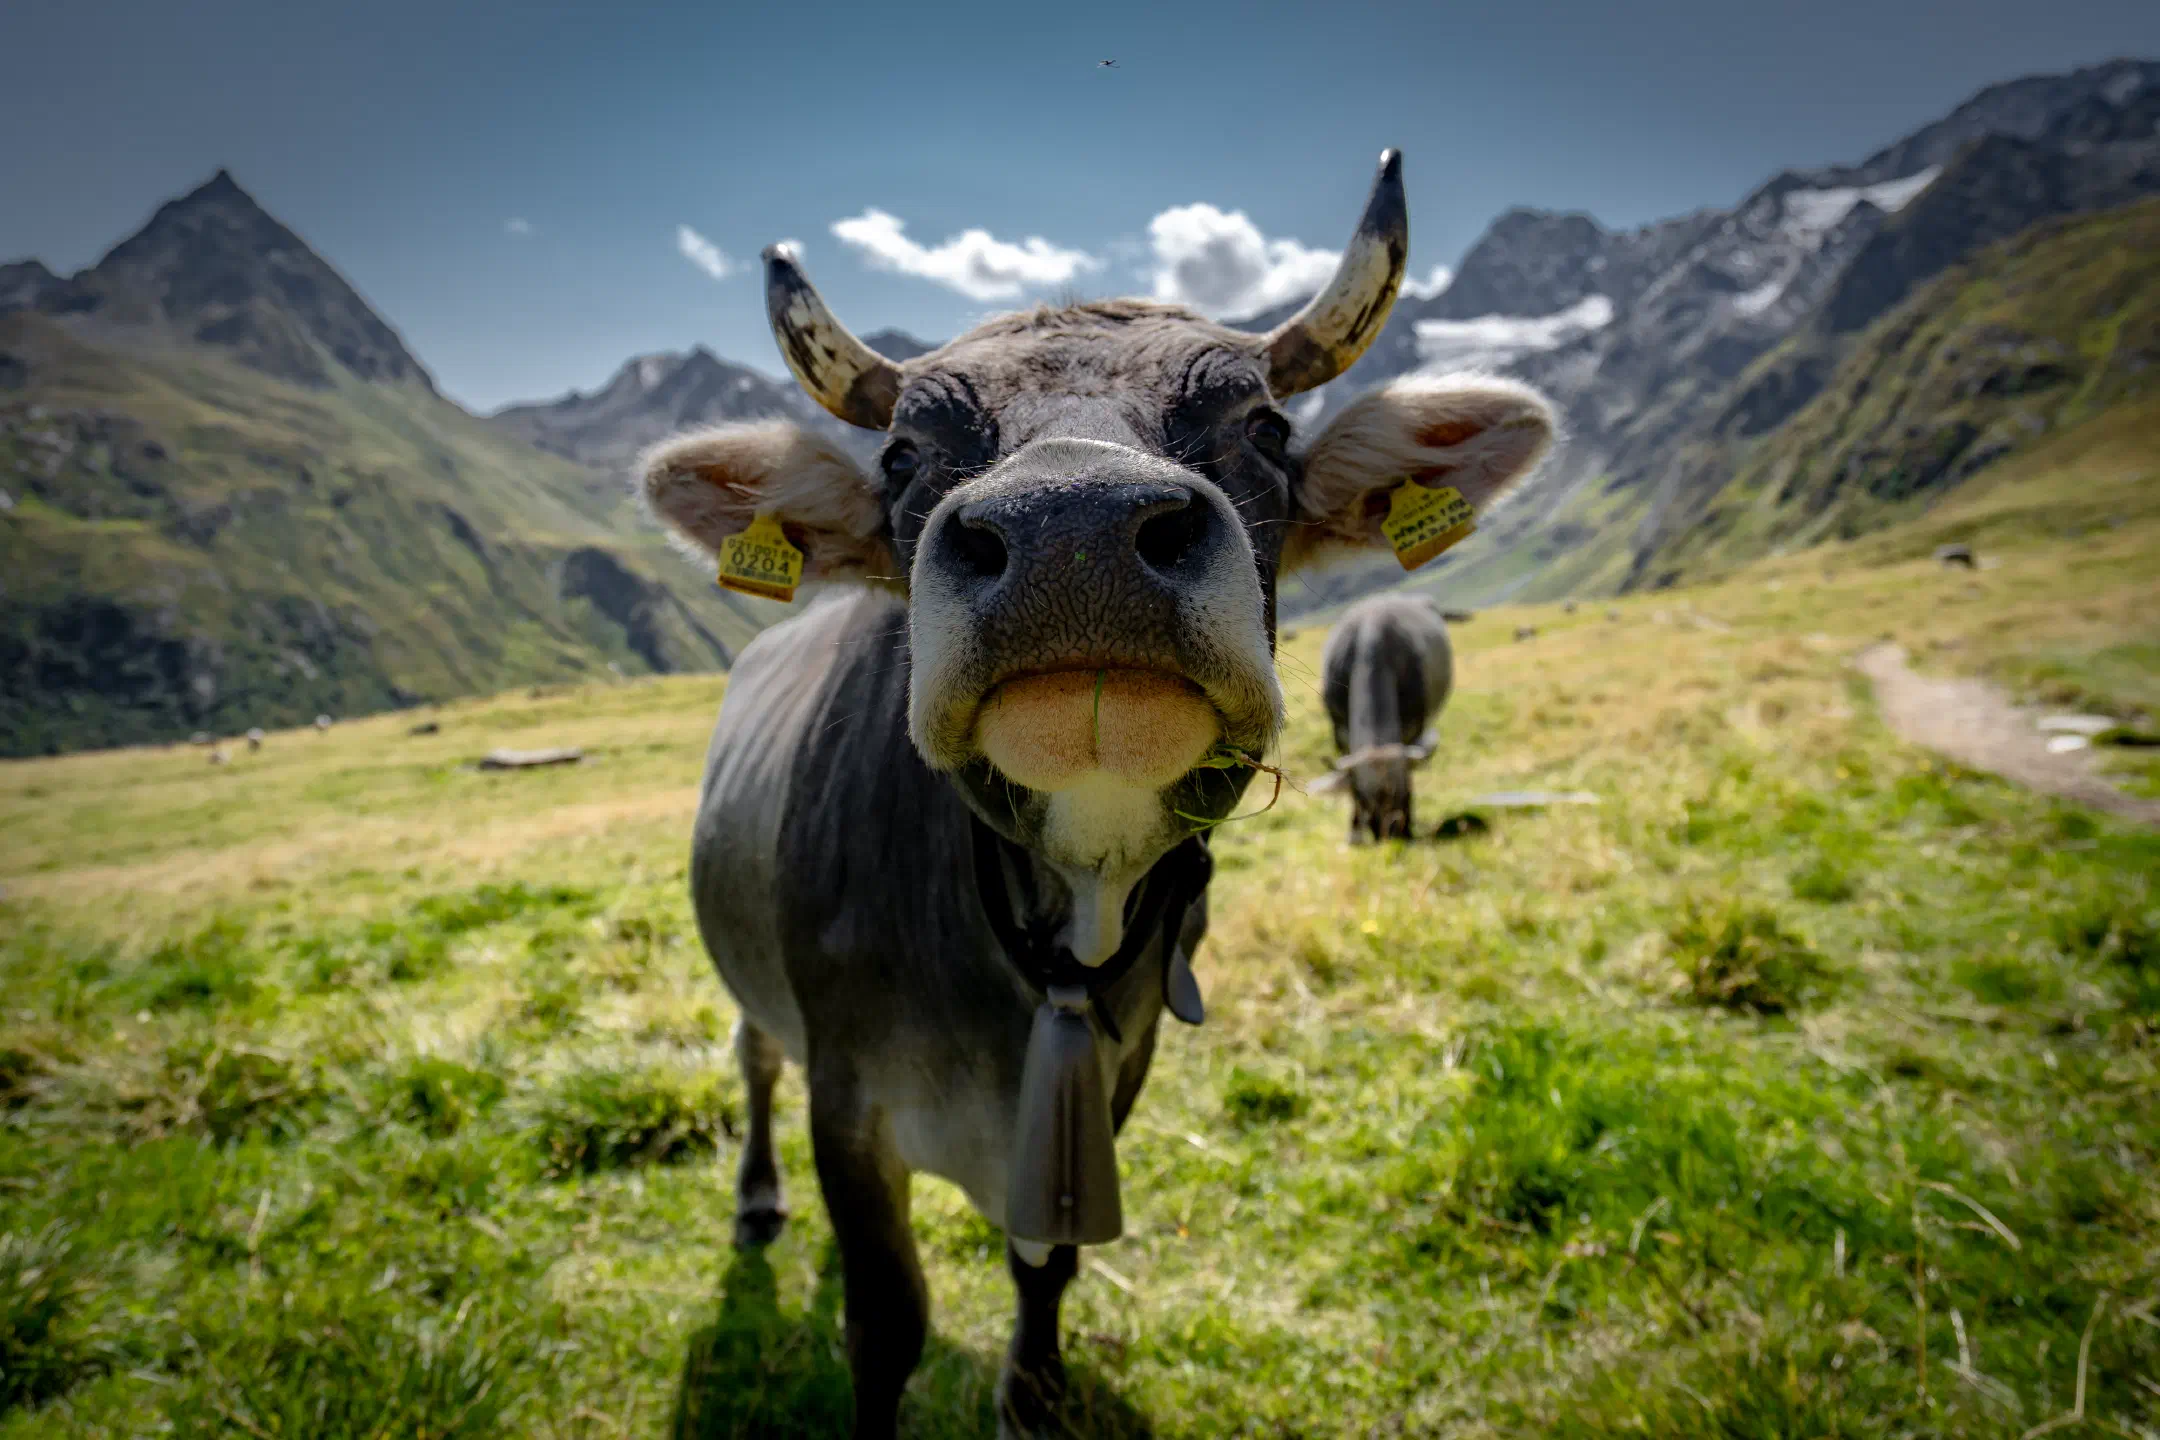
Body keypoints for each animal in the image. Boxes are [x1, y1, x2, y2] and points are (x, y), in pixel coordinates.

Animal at [1315, 593, 1456, 843]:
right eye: (1363, 797)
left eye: (1402, 794)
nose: (1388, 833)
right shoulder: (1340, 732)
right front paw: (1354, 832)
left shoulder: (1412, 728)